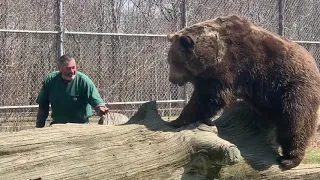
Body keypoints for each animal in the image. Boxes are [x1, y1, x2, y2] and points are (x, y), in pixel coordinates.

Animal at [166, 14, 320, 170]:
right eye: (170, 60)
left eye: (174, 61)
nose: (172, 79)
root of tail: (314, 63)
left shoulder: (230, 65)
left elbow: (208, 97)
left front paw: (177, 121)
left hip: (294, 86)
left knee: (295, 120)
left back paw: (289, 158)